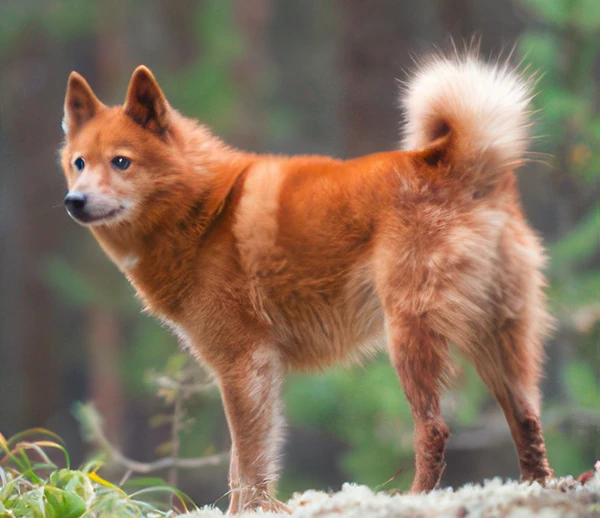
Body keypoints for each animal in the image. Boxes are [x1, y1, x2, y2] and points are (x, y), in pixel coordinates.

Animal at [59, 53, 552, 516]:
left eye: (121, 162)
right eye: (79, 163)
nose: (73, 201)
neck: (203, 211)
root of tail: (454, 162)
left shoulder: (244, 365)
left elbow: (246, 463)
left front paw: (246, 512)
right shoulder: (257, 372)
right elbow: (246, 462)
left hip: (410, 338)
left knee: (434, 429)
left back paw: (413, 499)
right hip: (497, 341)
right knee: (527, 419)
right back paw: (537, 490)